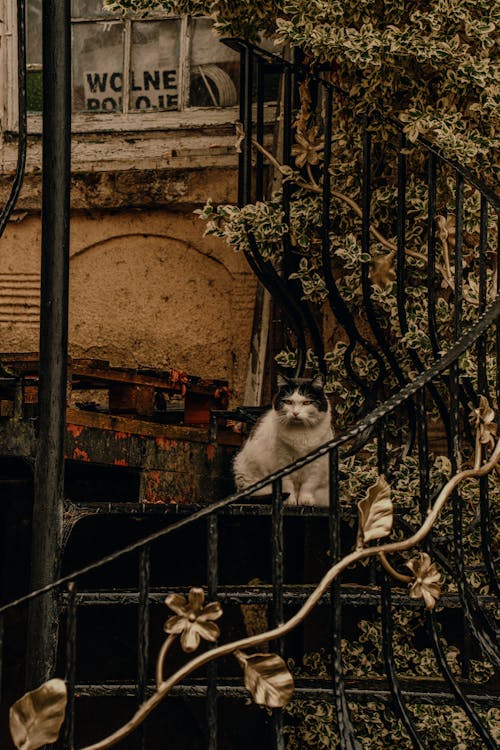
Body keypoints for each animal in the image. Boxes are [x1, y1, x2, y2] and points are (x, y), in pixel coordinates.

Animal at [233, 374, 334, 508]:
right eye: (288, 402)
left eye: (307, 402)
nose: (295, 413)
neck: (300, 432)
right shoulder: (281, 462)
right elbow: (286, 484)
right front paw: (289, 501)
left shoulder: (318, 462)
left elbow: (309, 484)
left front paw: (305, 500)